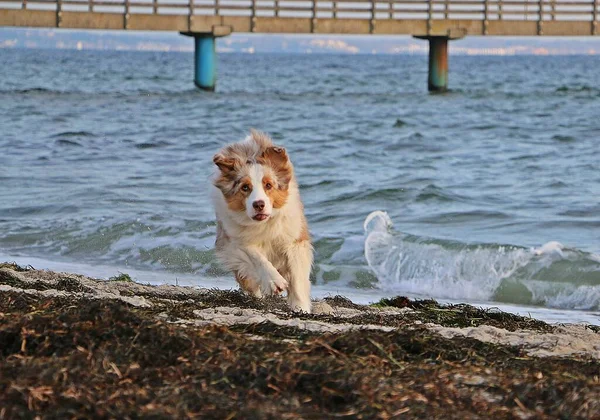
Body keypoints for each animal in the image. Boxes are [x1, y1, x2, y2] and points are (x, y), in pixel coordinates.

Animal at [211, 130, 312, 312]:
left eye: (268, 185)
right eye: (245, 187)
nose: (258, 204)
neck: (265, 224)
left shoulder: (294, 239)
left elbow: (296, 275)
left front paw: (300, 307)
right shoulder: (235, 238)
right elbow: (255, 256)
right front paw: (274, 282)